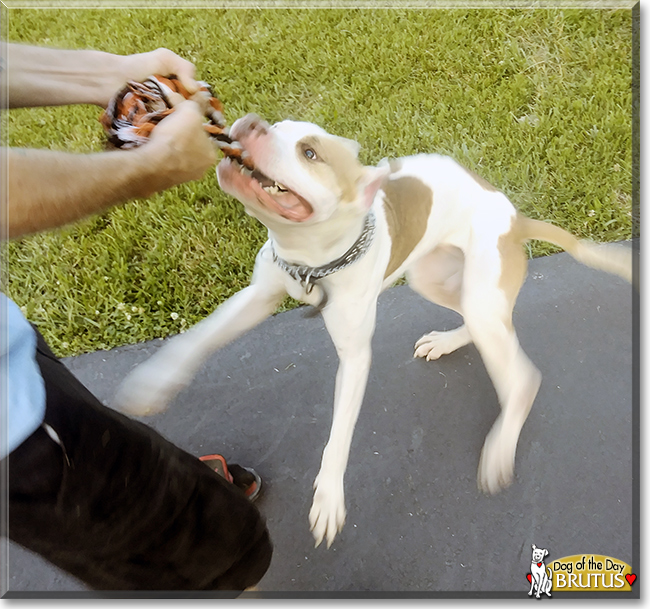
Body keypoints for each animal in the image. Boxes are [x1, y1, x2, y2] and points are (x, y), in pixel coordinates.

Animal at [114, 113, 632, 548]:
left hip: (482, 297)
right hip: (431, 278)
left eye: (309, 152)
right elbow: (199, 337)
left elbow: (339, 435)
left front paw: (328, 498)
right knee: (471, 320)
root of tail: (516, 219)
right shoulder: (259, 294)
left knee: (521, 378)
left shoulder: (355, 358)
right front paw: (152, 382)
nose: (250, 122)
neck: (313, 261)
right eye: (276, 126)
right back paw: (447, 342)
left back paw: (500, 447)